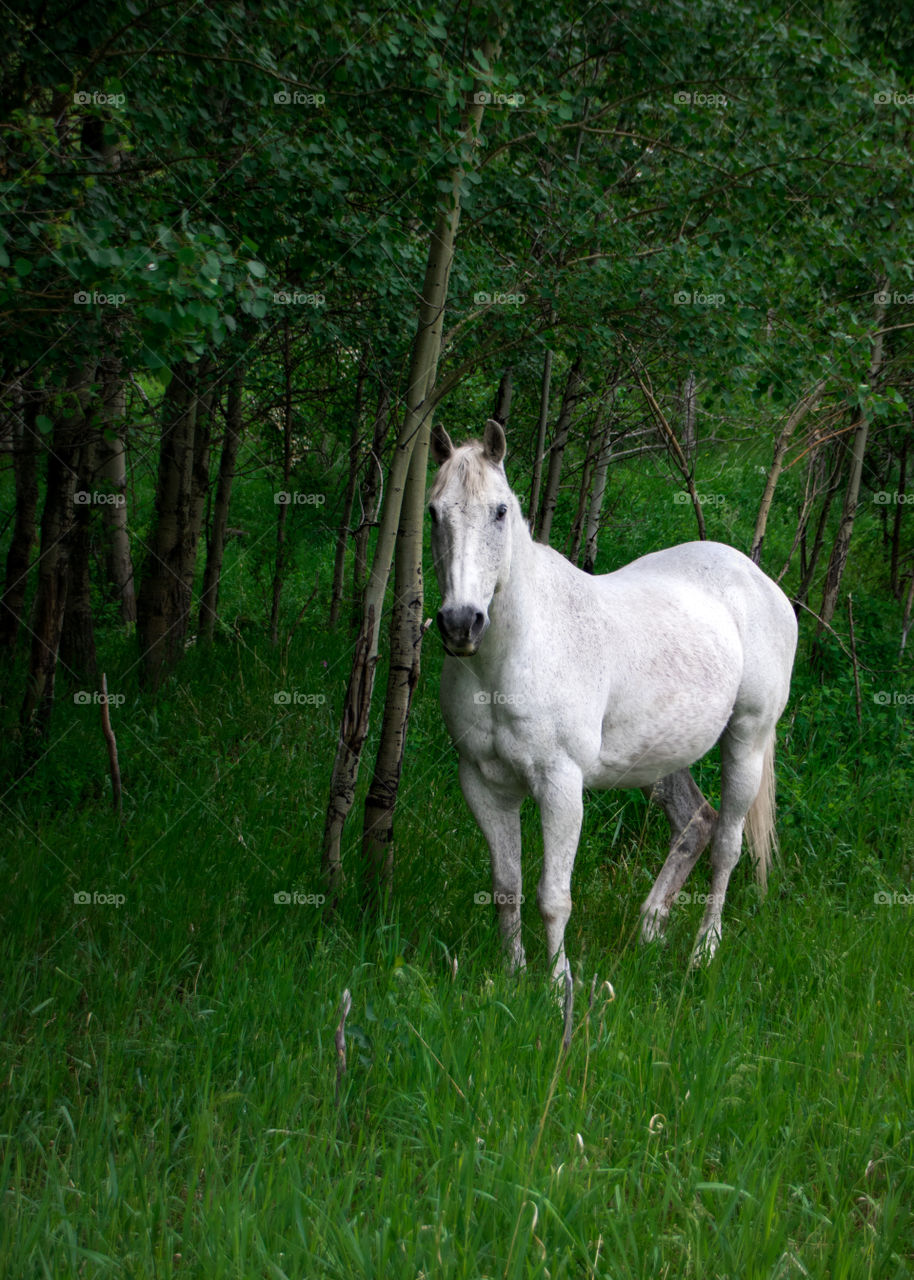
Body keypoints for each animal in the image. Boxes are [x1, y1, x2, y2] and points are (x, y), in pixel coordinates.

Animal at [430, 419, 793, 977]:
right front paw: (512, 975)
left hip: (747, 740)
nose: (460, 623)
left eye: (500, 511)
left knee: (728, 844)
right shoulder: (483, 783)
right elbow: (507, 887)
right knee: (695, 822)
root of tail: (759, 580)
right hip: (660, 757)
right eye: (433, 512)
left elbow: (553, 897)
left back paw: (704, 950)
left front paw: (559, 984)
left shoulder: (560, 783)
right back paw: (650, 931)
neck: (514, 653)